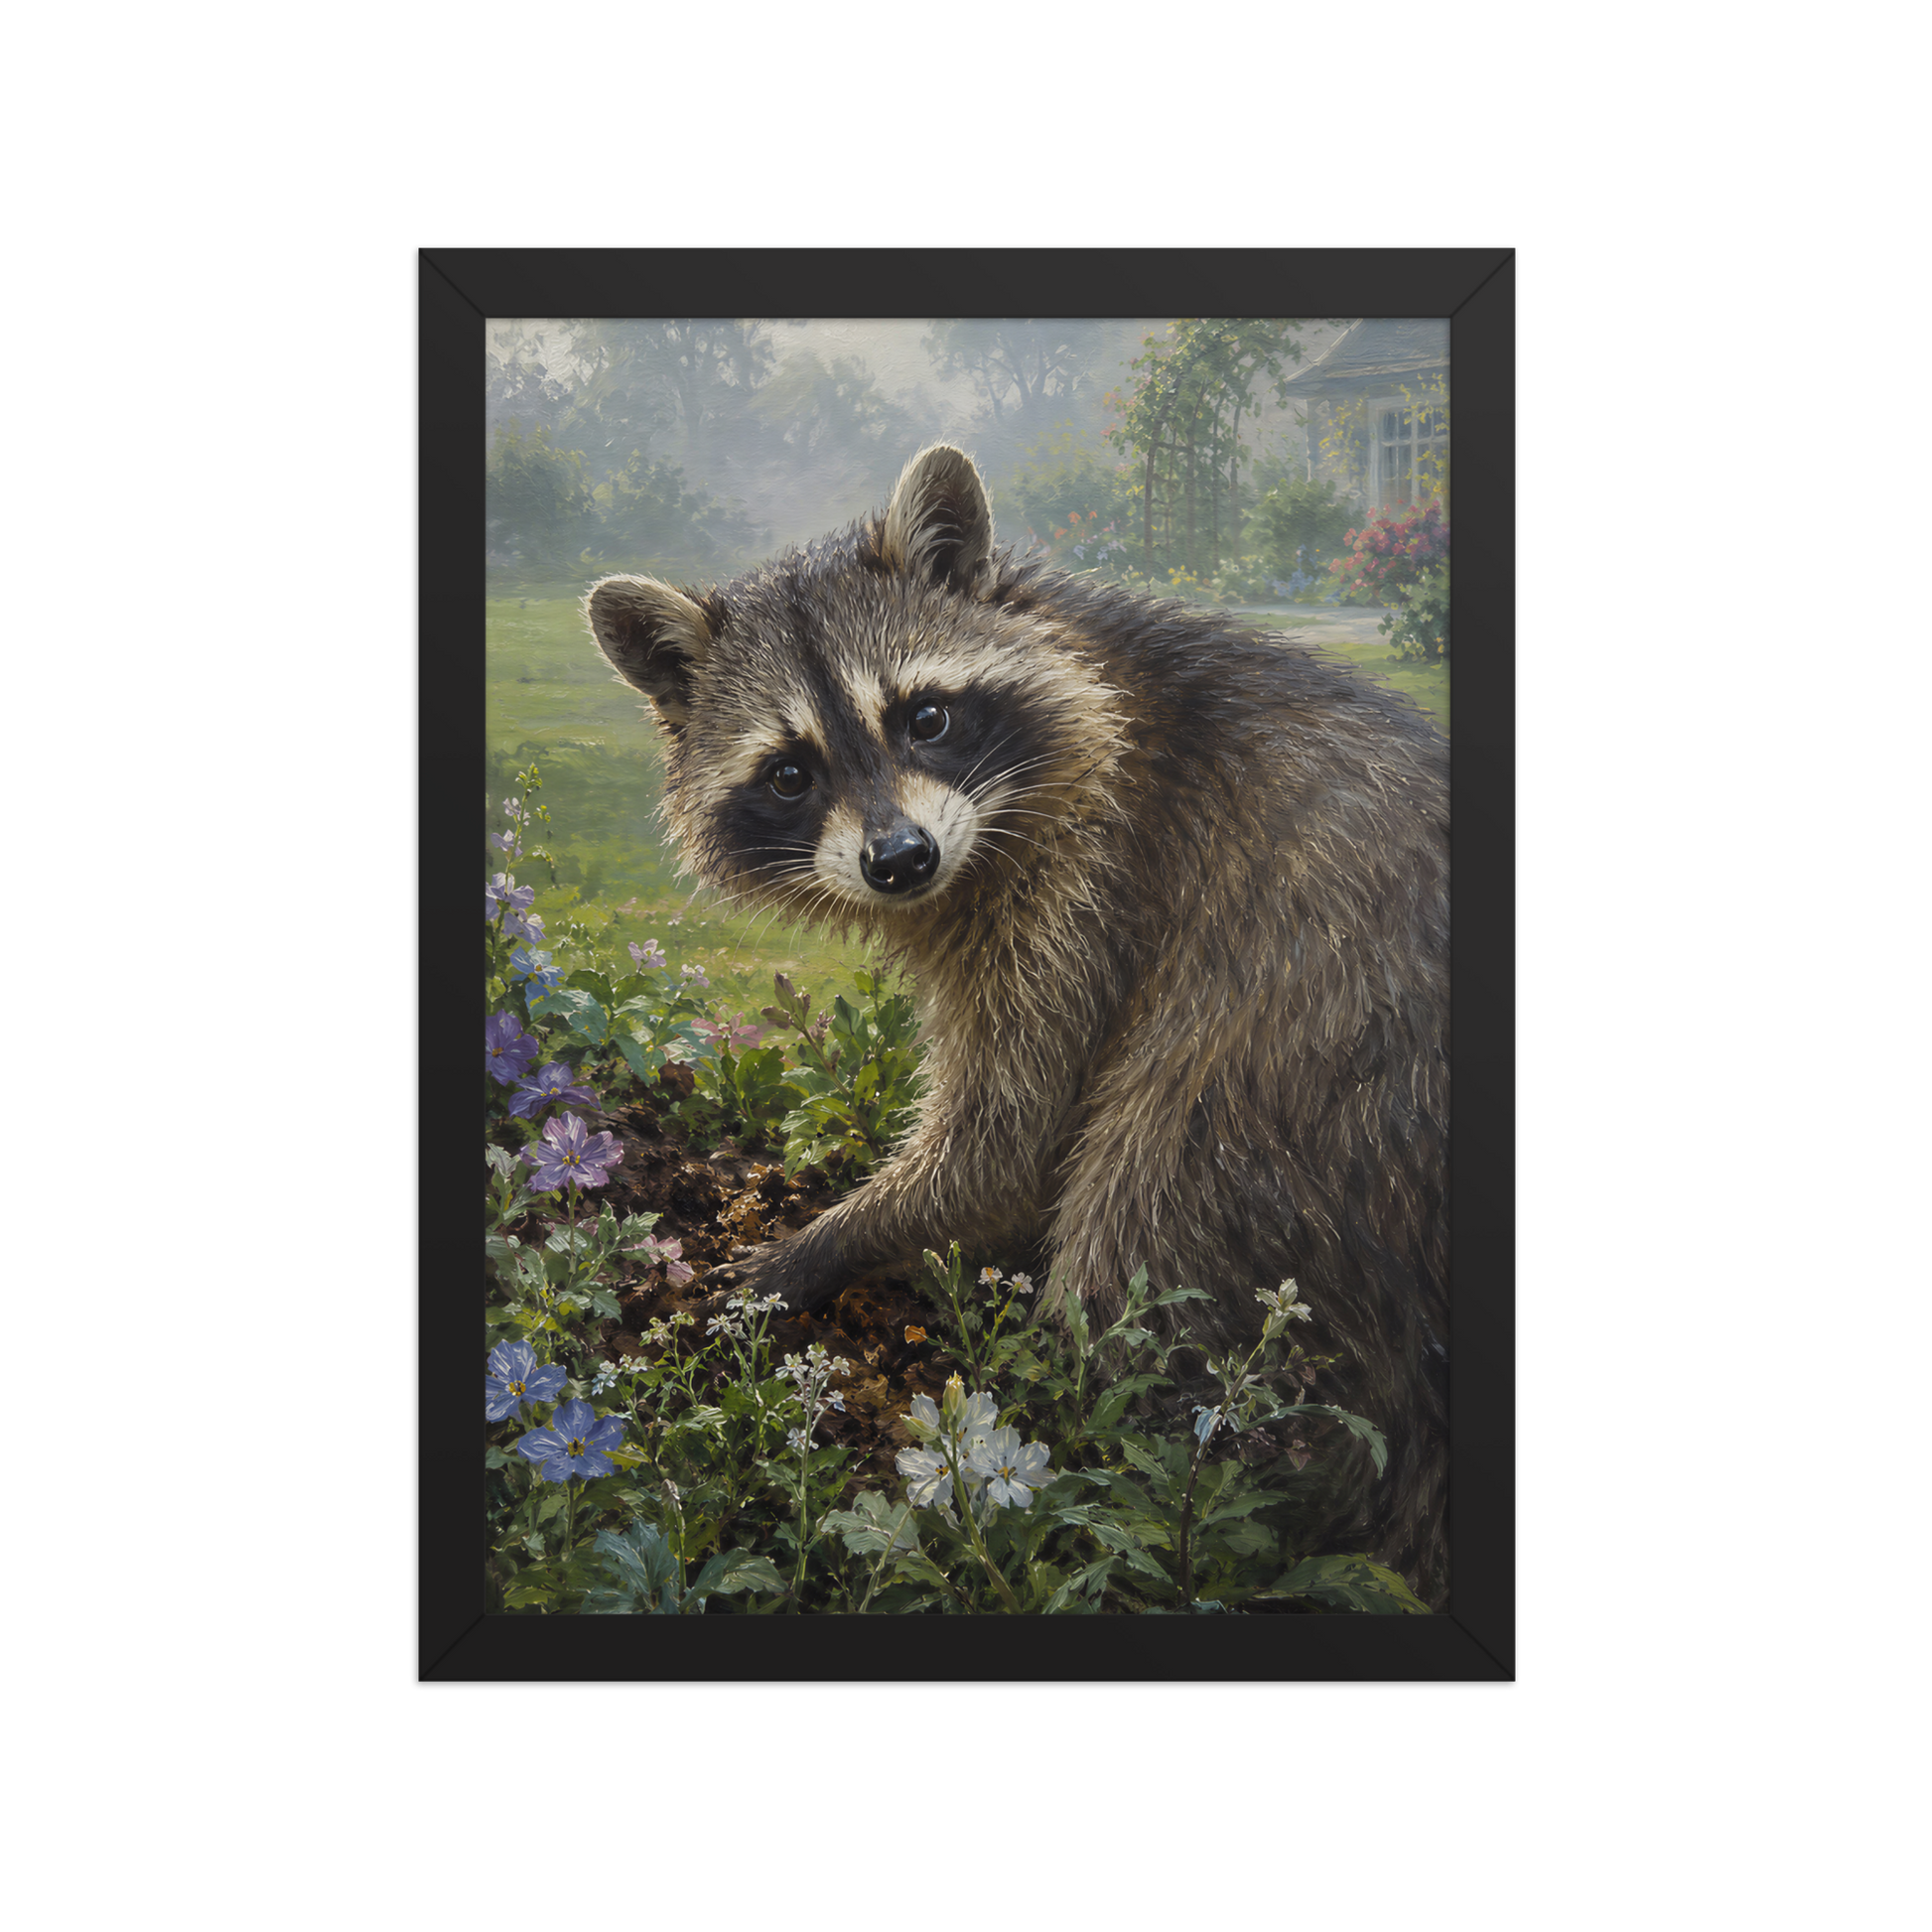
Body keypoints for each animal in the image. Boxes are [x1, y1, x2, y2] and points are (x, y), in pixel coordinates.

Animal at [584, 444, 1450, 1606]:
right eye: (789, 771)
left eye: (925, 716)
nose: (900, 860)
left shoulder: (1094, 881)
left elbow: (1007, 1142)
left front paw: (825, 1242)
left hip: (1293, 1097)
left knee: (1142, 1223)